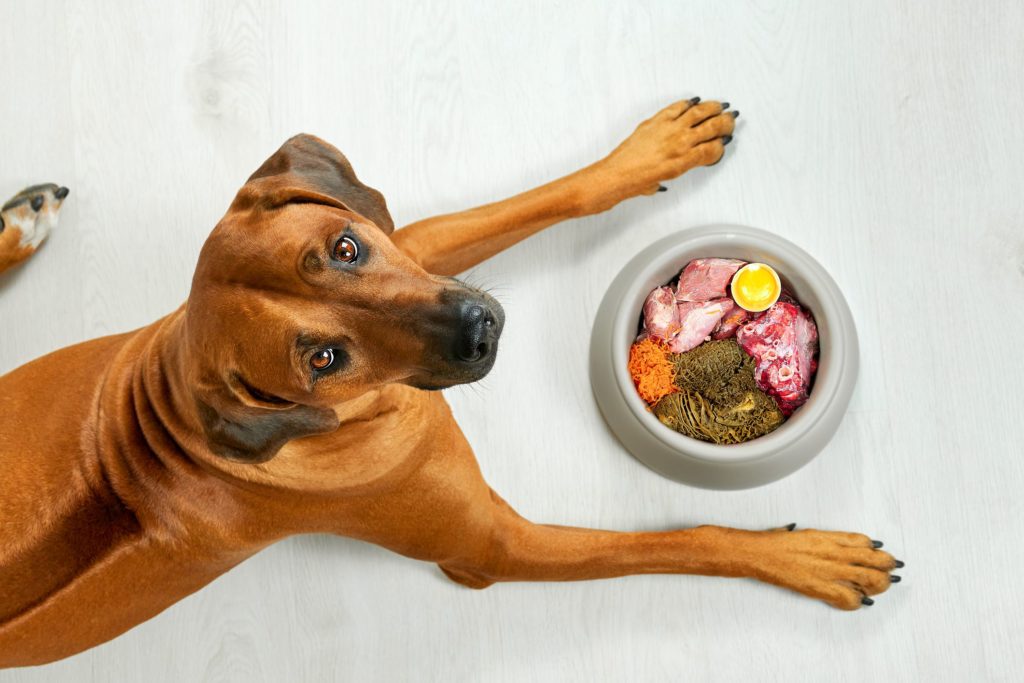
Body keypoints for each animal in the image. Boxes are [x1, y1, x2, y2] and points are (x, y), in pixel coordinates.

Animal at [0, 100, 901, 667]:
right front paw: (805, 557)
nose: (480, 329)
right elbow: (680, 541)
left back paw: (20, 224)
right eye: (321, 359)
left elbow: (538, 200)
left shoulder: (414, 247)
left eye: (345, 248)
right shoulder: (490, 548)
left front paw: (651, 153)